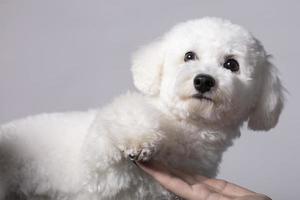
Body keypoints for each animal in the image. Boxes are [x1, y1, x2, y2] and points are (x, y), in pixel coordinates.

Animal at [0, 17, 284, 200]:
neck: (185, 127)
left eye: (231, 64)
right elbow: (124, 117)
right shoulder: (96, 172)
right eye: (189, 56)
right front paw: (138, 139)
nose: (203, 80)